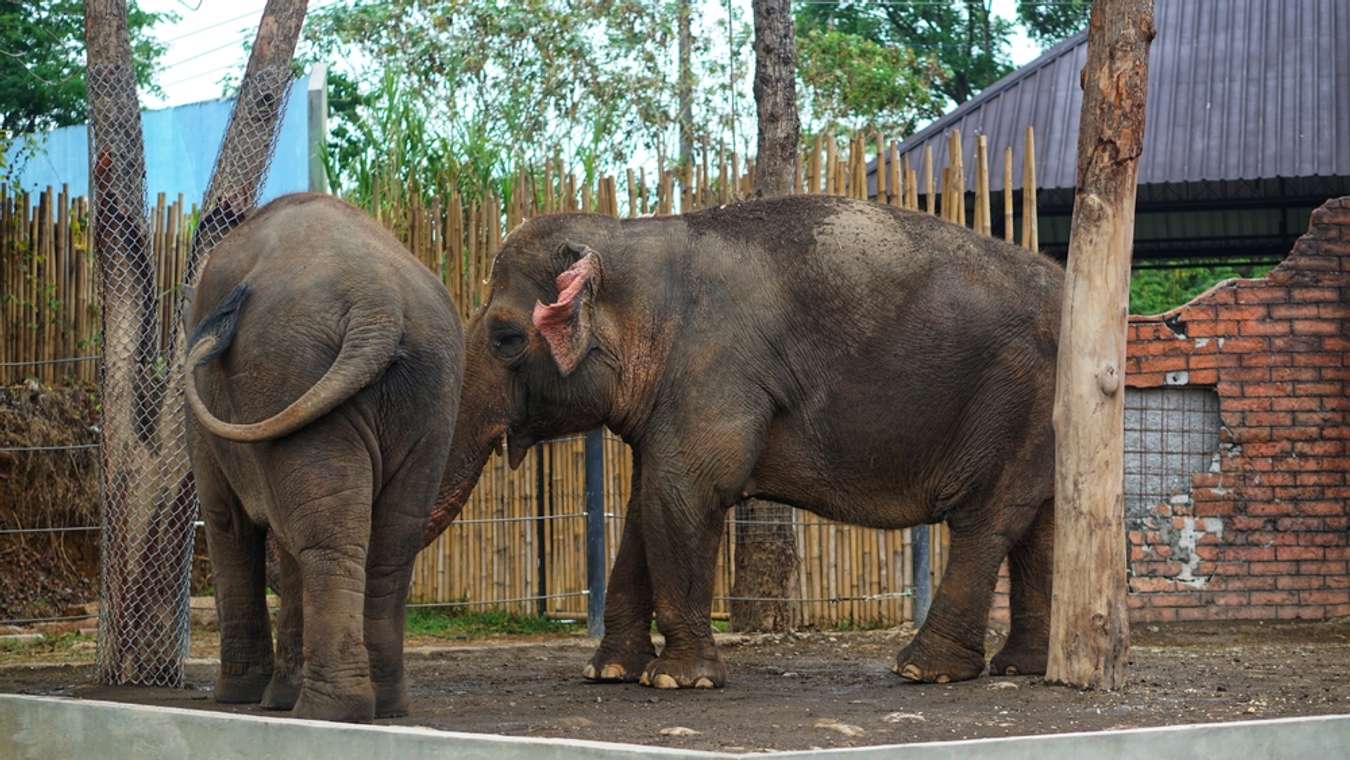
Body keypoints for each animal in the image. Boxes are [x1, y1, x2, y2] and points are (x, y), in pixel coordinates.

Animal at [183, 193, 464, 723]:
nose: (223, 319)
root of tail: (379, 307)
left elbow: (228, 521)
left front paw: (238, 697)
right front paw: (273, 698)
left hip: (292, 370)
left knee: (327, 538)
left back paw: (329, 710)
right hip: (429, 392)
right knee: (392, 542)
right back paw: (382, 707)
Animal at [423, 194, 1063, 691]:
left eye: (506, 338)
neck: (632, 238)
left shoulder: (715, 366)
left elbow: (686, 493)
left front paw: (679, 680)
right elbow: (646, 504)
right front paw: (609, 673)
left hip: (1018, 395)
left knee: (989, 520)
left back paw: (923, 670)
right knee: (1043, 523)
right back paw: (1021, 667)